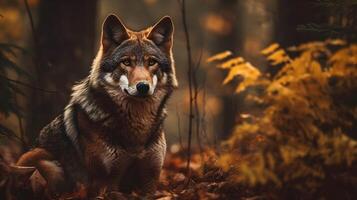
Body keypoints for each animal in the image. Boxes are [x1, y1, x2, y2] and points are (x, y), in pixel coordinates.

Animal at [16, 14, 177, 198]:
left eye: (151, 62)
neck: (137, 128)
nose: (143, 86)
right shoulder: (106, 182)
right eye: (126, 62)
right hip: (40, 160)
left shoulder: (150, 179)